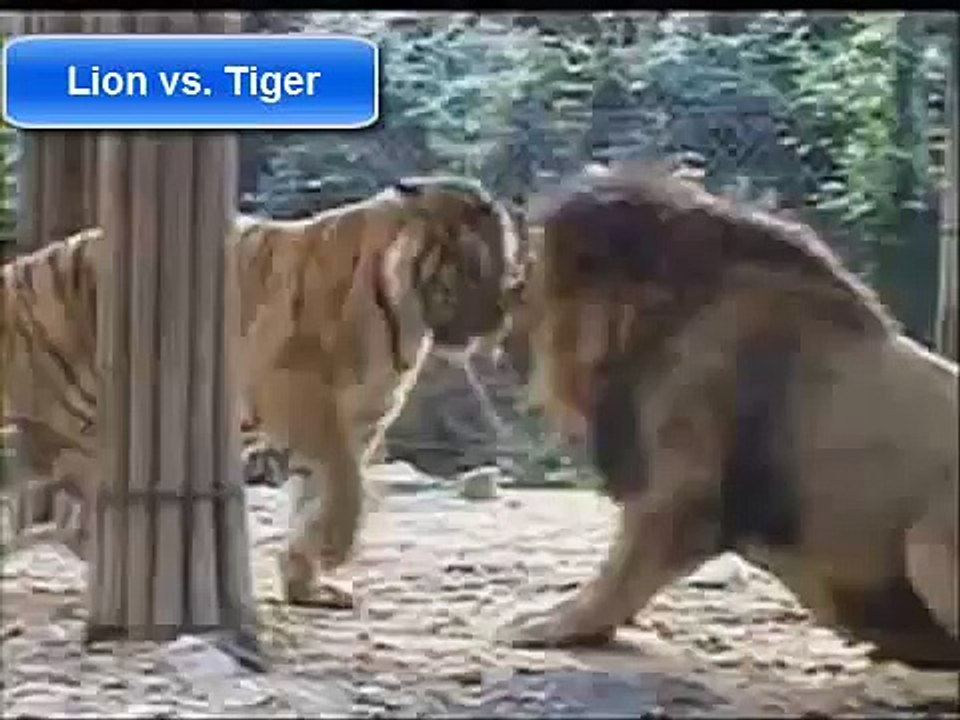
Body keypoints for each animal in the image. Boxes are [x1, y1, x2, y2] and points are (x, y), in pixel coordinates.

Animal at [1, 176, 521, 607]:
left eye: (508, 268)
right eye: (474, 266)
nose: (501, 319)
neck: (404, 314)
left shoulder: (362, 415)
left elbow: (319, 492)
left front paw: (307, 583)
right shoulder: (298, 393)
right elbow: (345, 488)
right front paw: (331, 552)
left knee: (72, 515)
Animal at [496, 162, 959, 671]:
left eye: (531, 267)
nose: (510, 294)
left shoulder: (684, 483)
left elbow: (620, 572)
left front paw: (551, 625)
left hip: (928, 541)